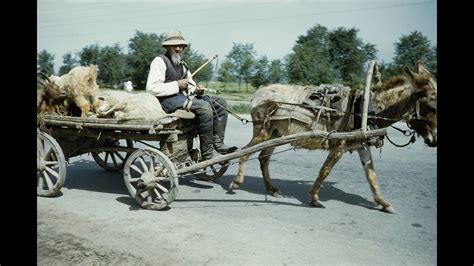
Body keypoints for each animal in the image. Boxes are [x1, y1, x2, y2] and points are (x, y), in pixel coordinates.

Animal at [230, 61, 436, 213]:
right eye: (432, 106)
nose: (434, 141)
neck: (365, 109)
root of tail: (258, 92)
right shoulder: (339, 146)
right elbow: (325, 171)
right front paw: (314, 198)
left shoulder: (361, 145)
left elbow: (371, 175)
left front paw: (383, 203)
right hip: (262, 131)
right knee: (244, 152)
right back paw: (236, 182)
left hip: (275, 133)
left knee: (263, 158)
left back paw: (271, 189)